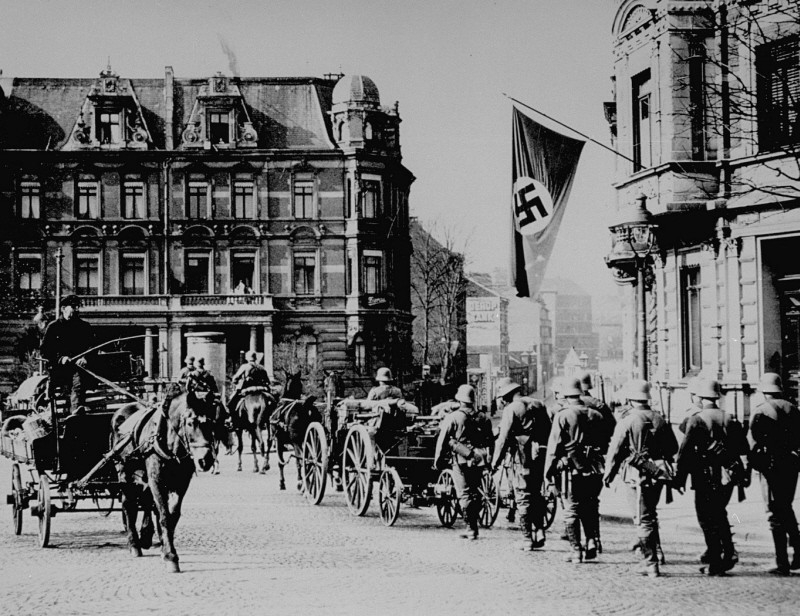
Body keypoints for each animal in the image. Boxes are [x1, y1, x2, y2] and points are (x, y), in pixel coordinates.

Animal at [111, 390, 219, 572]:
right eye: (191, 423)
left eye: (212, 423)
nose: (206, 460)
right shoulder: (157, 480)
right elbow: (164, 516)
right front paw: (171, 556)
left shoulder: (181, 483)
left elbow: (172, 515)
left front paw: (165, 548)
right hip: (126, 476)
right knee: (129, 506)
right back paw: (134, 544)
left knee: (146, 502)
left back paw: (146, 536)